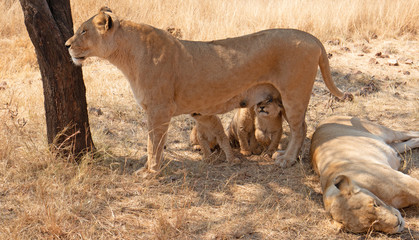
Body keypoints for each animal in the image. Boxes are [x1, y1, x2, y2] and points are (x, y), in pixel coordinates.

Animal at [65, 7, 348, 174]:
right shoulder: (157, 111)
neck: (125, 55)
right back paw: (288, 156)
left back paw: (286, 160)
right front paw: (151, 169)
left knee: (300, 129)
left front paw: (150, 172)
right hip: (283, 96)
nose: (67, 45)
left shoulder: (159, 109)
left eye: (83, 31)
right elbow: (153, 143)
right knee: (303, 126)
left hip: (293, 94)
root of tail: (313, 38)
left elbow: (153, 143)